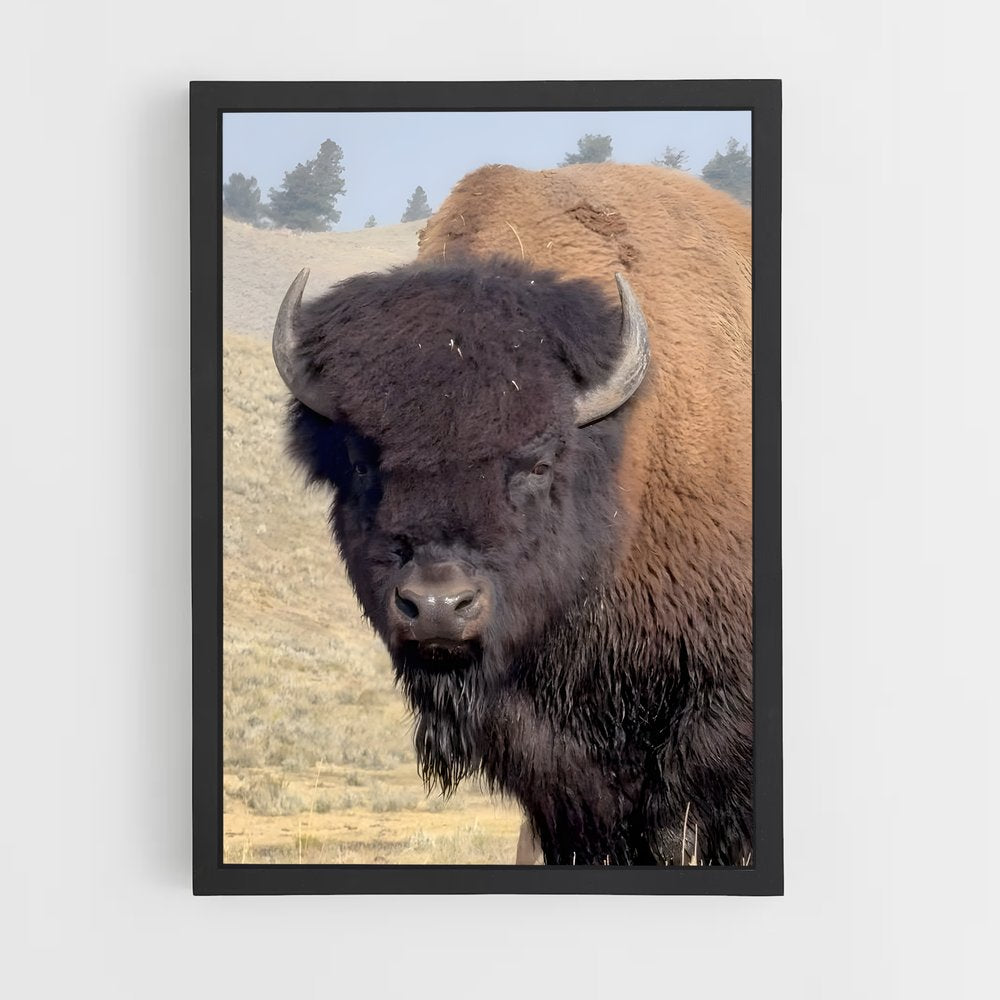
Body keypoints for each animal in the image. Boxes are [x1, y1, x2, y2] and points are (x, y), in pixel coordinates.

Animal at [273, 163, 753, 865]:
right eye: (360, 462)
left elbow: (680, 828)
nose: (437, 606)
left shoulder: (713, 714)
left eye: (537, 462)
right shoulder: (548, 752)